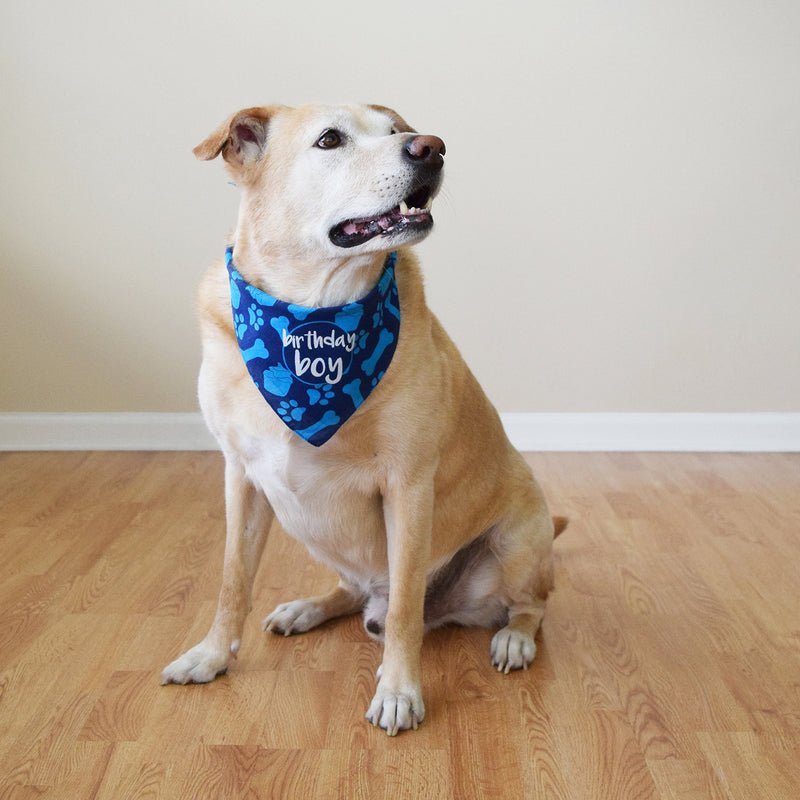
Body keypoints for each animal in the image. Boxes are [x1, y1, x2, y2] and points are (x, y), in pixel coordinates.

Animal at [161, 103, 564, 736]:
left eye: (398, 129)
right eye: (330, 140)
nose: (431, 146)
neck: (315, 319)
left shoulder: (408, 487)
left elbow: (404, 611)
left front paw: (399, 692)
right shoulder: (241, 478)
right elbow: (231, 581)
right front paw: (210, 654)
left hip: (519, 538)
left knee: (528, 605)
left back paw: (514, 639)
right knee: (354, 592)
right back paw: (307, 608)